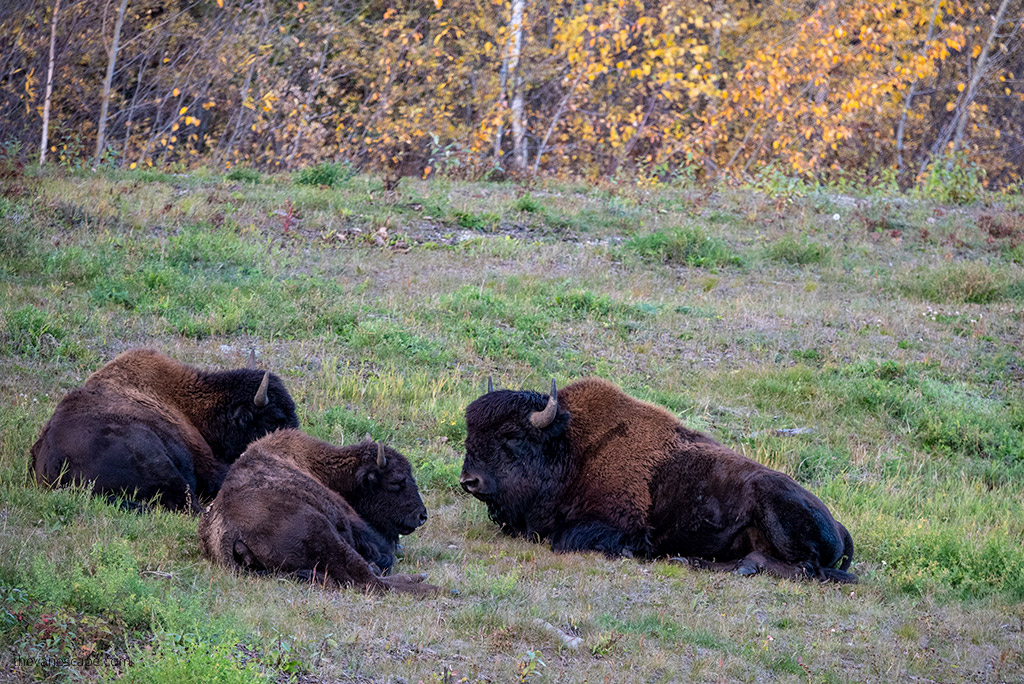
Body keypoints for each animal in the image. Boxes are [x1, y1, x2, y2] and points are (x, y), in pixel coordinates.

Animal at [198, 428, 436, 593]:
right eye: (397, 482)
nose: (421, 516)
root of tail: (228, 533)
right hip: (324, 533)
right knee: (370, 582)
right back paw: (430, 586)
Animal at [458, 378, 856, 581]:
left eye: (512, 436)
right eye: (470, 433)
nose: (469, 481)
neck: (572, 448)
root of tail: (839, 524)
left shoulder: (622, 525)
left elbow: (565, 539)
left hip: (772, 504)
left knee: (804, 568)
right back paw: (689, 561)